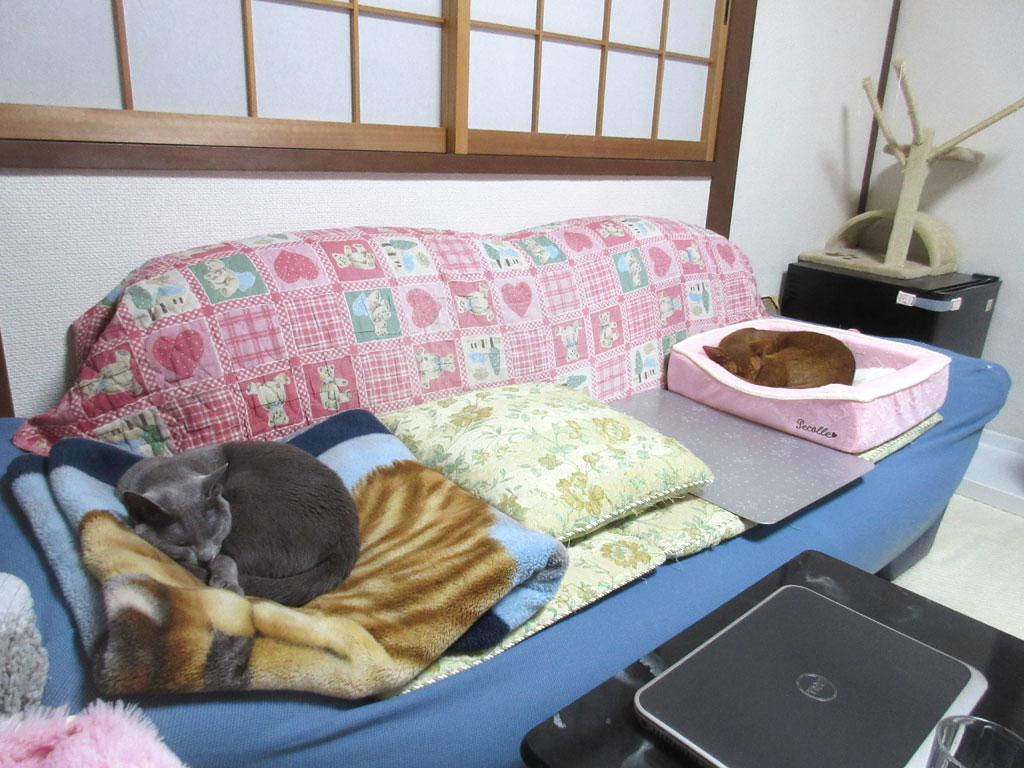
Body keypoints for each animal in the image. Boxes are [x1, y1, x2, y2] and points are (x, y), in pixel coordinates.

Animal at [115, 441, 360, 607]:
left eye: (215, 532)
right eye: (181, 544)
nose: (205, 558)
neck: (167, 473)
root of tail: (345, 544)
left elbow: (225, 559)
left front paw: (225, 583)